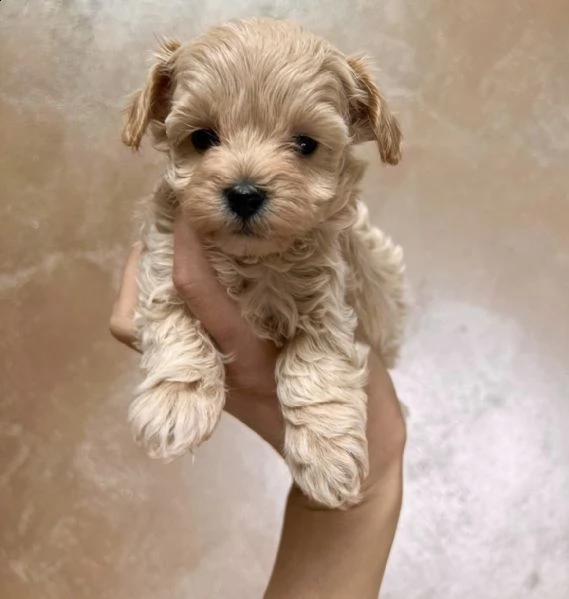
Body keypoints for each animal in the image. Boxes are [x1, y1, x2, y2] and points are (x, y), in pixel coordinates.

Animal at [122, 17, 406, 506]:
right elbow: (171, 310)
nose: (244, 193)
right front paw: (176, 401)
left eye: (305, 143)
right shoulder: (165, 252)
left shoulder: (329, 294)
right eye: (202, 138)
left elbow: (315, 357)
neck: (253, 260)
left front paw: (328, 454)